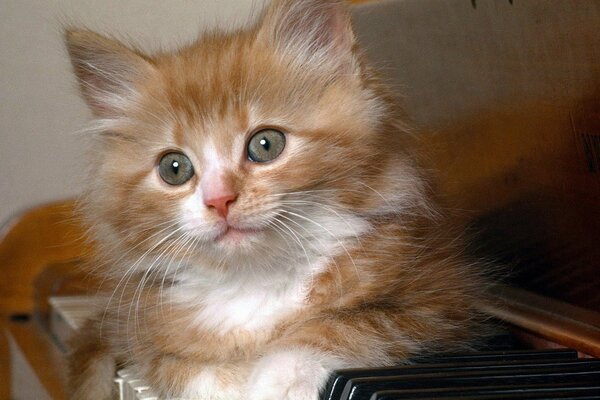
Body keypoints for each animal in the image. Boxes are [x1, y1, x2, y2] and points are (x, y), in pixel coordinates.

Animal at [68, 0, 494, 400]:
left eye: (265, 144)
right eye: (174, 168)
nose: (220, 199)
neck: (256, 279)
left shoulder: (438, 305)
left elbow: (349, 325)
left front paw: (279, 379)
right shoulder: (139, 326)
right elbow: (174, 364)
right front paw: (226, 383)